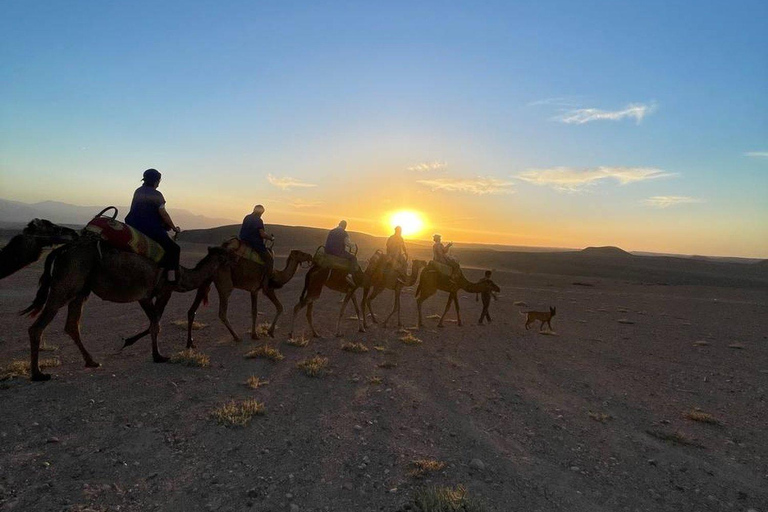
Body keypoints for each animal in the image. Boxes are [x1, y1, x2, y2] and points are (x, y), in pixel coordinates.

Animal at [19, 239, 232, 380]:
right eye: (224, 254)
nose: (234, 257)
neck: (181, 275)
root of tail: (60, 252)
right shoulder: (155, 293)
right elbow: (156, 324)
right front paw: (158, 356)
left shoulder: (152, 295)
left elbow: (155, 322)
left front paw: (133, 343)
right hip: (65, 286)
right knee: (38, 327)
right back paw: (38, 374)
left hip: (81, 291)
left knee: (72, 325)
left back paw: (91, 361)